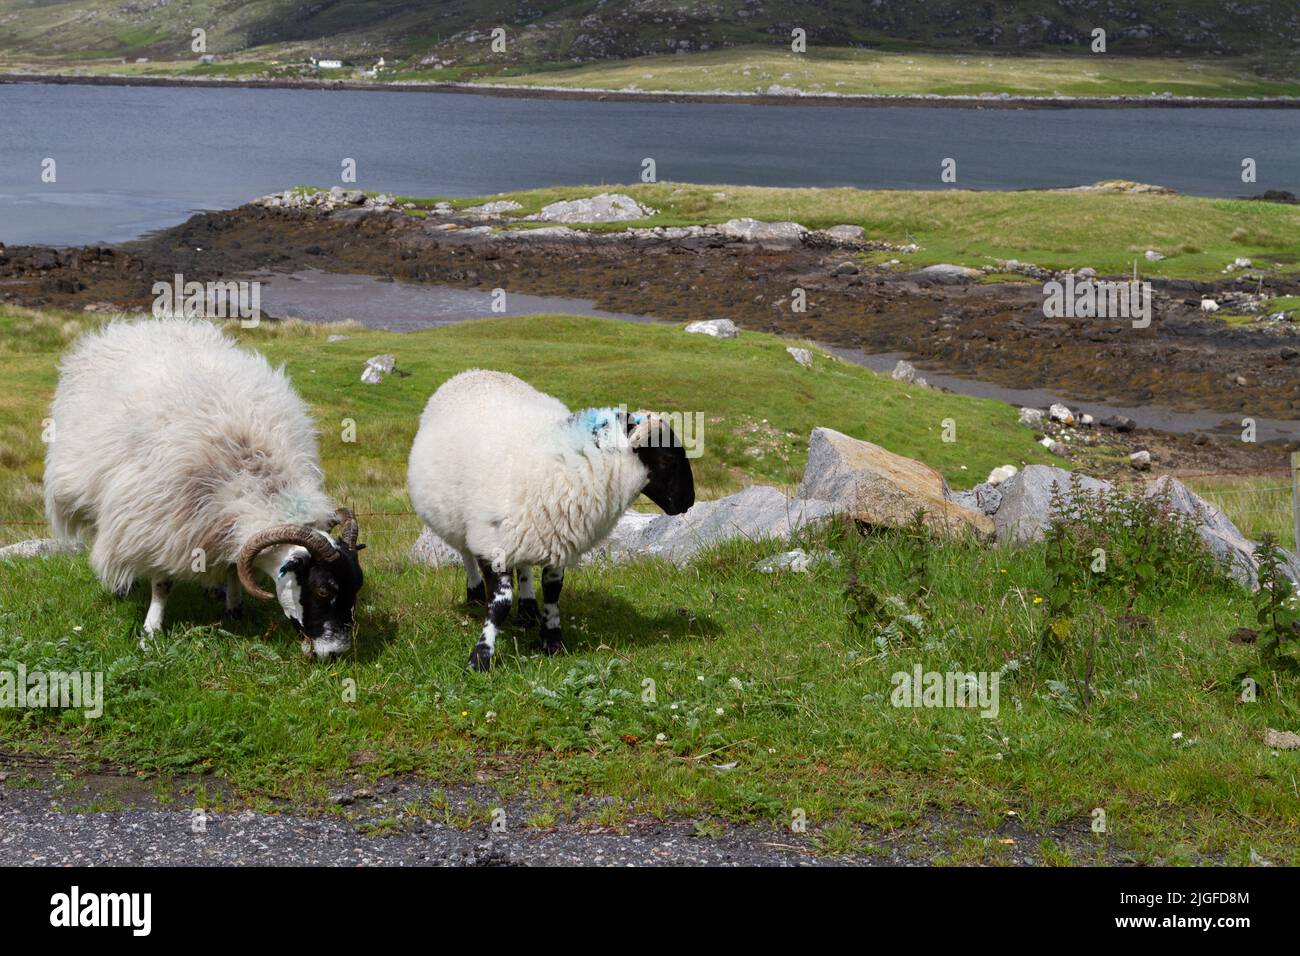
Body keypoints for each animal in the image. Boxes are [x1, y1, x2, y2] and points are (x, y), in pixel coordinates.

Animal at [43, 317, 365, 659]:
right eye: (322, 590)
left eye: (356, 586)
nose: (336, 653)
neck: (253, 477)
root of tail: (140, 325)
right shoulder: (163, 522)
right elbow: (163, 583)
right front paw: (151, 630)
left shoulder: (214, 520)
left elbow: (235, 564)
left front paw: (233, 607)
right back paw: (120, 585)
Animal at [407, 369, 694, 670]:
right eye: (667, 458)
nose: (689, 501)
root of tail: (475, 372)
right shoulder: (491, 541)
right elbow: (500, 603)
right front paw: (481, 656)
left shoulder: (558, 536)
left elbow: (553, 591)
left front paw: (552, 640)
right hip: (459, 520)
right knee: (465, 553)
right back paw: (474, 594)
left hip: (524, 530)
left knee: (522, 566)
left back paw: (528, 609)